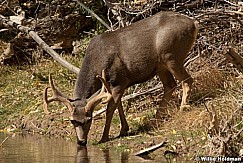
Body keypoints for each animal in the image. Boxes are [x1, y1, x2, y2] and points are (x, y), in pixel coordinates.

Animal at [43, 11, 199, 146]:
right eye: (72, 121)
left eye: (89, 119)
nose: (81, 141)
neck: (97, 60)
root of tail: (193, 23)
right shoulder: (114, 85)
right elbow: (119, 105)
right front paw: (124, 129)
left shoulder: (118, 81)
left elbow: (110, 109)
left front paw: (104, 137)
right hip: (161, 65)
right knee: (170, 85)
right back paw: (156, 118)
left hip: (171, 55)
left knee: (187, 80)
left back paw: (182, 108)